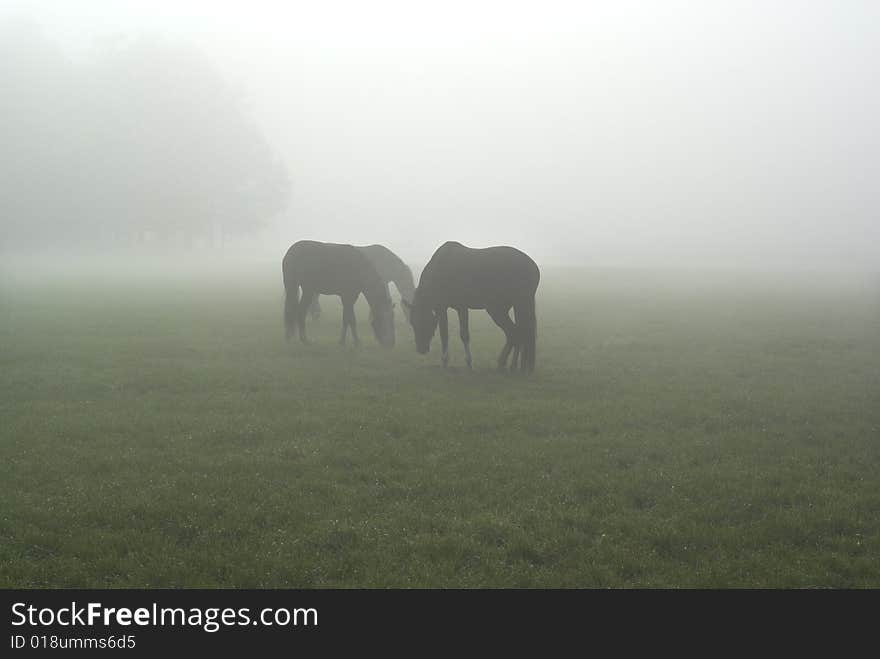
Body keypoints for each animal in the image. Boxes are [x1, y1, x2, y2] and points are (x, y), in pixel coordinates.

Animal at [402, 242, 540, 374]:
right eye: (413, 323)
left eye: (426, 323)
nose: (421, 349)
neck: (440, 269)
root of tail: (534, 267)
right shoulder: (442, 308)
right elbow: (445, 334)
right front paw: (446, 362)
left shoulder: (459, 308)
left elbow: (461, 335)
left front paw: (466, 363)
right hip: (511, 307)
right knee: (519, 332)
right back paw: (513, 366)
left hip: (502, 308)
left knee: (515, 333)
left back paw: (505, 363)